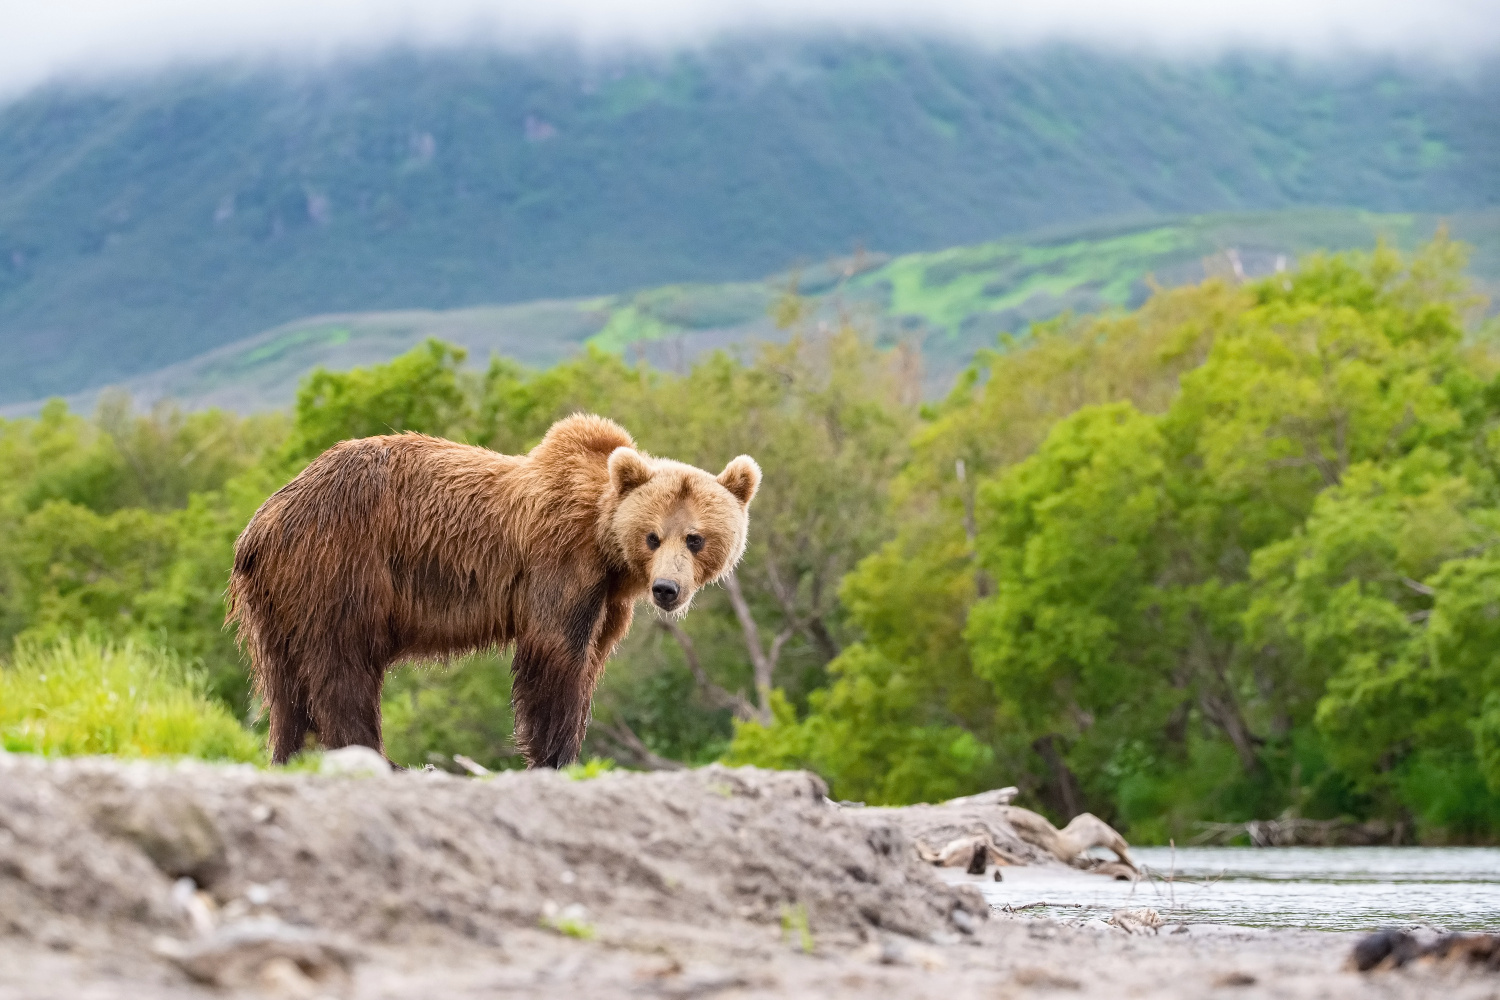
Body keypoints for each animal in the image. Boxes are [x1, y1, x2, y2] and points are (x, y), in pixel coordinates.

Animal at [228, 413, 762, 767]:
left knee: (285, 685)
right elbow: (555, 655)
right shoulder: (561, 563)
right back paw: (377, 755)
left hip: (278, 600)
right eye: (653, 536)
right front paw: (553, 754)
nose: (667, 589)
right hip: (339, 566)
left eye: (695, 538)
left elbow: (590, 661)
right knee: (342, 668)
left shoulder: (609, 602)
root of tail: (263, 521)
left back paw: (291, 753)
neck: (607, 549)